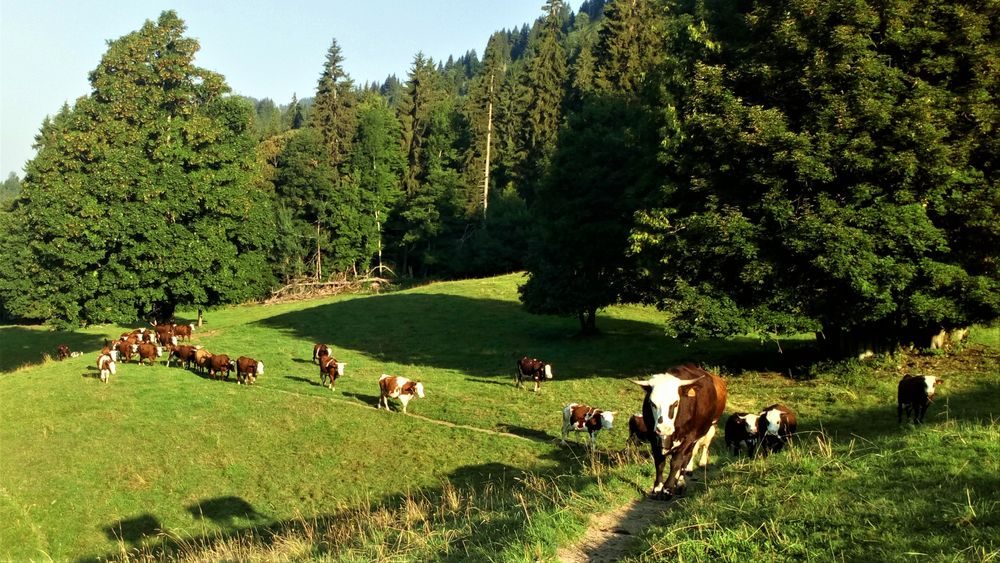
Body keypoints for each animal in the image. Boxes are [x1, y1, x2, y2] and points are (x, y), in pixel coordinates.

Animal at [632, 366, 728, 502]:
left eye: (676, 403)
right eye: (652, 403)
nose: (664, 428)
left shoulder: (689, 438)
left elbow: (677, 462)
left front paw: (667, 489)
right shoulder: (653, 436)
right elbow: (659, 462)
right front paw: (657, 488)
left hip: (707, 430)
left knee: (690, 455)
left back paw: (683, 480)